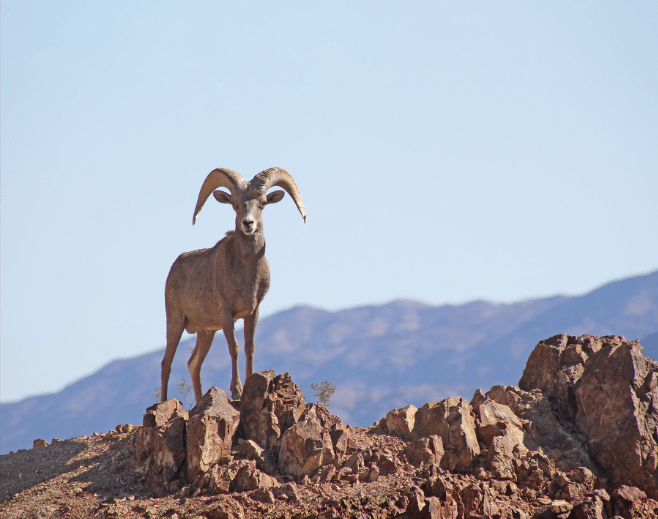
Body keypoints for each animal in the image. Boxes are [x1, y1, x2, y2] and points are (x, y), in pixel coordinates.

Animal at [159, 169, 304, 404]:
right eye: (235, 204)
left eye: (262, 204)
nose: (248, 224)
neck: (245, 275)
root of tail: (174, 266)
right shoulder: (227, 314)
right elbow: (234, 348)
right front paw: (236, 391)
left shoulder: (252, 312)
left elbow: (249, 348)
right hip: (175, 322)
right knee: (166, 364)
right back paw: (162, 403)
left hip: (205, 332)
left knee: (193, 364)